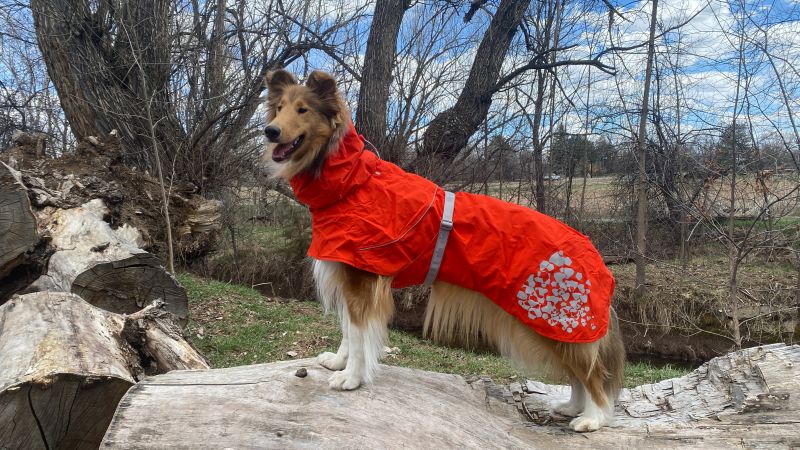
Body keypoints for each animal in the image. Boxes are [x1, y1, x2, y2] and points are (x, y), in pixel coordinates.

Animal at [262, 68, 624, 430]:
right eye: (278, 108)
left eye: (303, 110)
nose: (270, 131)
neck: (351, 182)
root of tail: (592, 251)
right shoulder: (351, 279)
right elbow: (349, 333)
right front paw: (339, 363)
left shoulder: (362, 281)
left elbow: (360, 335)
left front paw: (351, 378)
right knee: (579, 374)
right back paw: (572, 407)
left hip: (558, 322)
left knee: (593, 373)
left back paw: (593, 418)